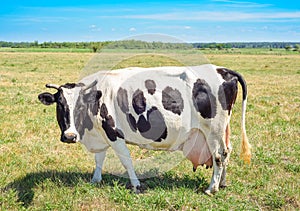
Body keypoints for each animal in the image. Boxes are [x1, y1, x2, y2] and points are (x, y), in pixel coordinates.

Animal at [38, 64, 252, 196]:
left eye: (80, 106)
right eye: (60, 105)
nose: (70, 136)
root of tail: (223, 70)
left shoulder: (113, 133)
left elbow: (126, 161)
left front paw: (136, 185)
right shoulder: (102, 134)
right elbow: (99, 159)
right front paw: (95, 180)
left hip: (213, 130)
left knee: (219, 155)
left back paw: (212, 188)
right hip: (223, 130)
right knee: (227, 151)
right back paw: (222, 182)